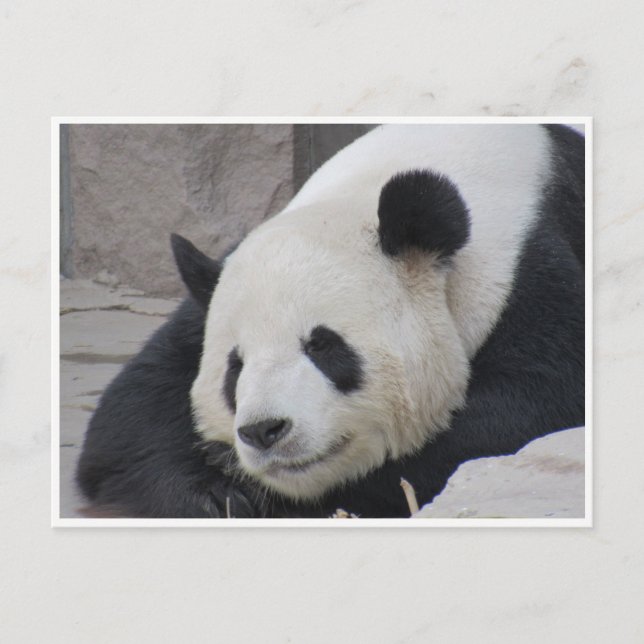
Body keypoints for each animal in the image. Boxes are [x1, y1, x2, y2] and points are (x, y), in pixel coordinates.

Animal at [76, 124, 585, 519]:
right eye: (235, 367)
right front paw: (215, 488)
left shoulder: (524, 270)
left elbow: (535, 406)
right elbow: (128, 416)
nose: (263, 430)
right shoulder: (209, 293)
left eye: (322, 345)